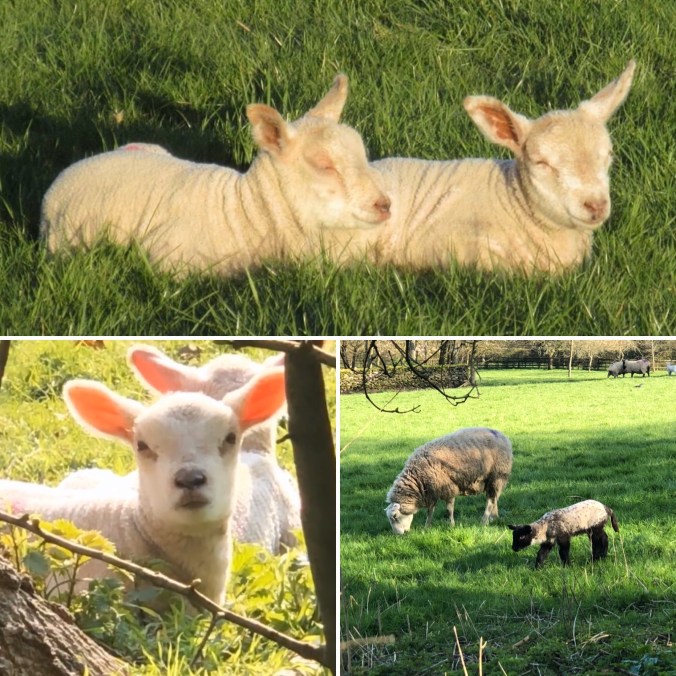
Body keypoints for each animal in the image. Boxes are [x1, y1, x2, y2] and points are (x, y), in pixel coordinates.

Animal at [384, 427, 513, 534]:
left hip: (496, 475)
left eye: (394, 516)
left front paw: (451, 525)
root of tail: (503, 436)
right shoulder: (432, 491)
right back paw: (494, 517)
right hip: (492, 481)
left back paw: (484, 521)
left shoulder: (448, 487)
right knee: (494, 498)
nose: (398, 535)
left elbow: (448, 509)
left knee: (490, 501)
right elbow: (430, 511)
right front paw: (427, 526)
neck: (417, 477)